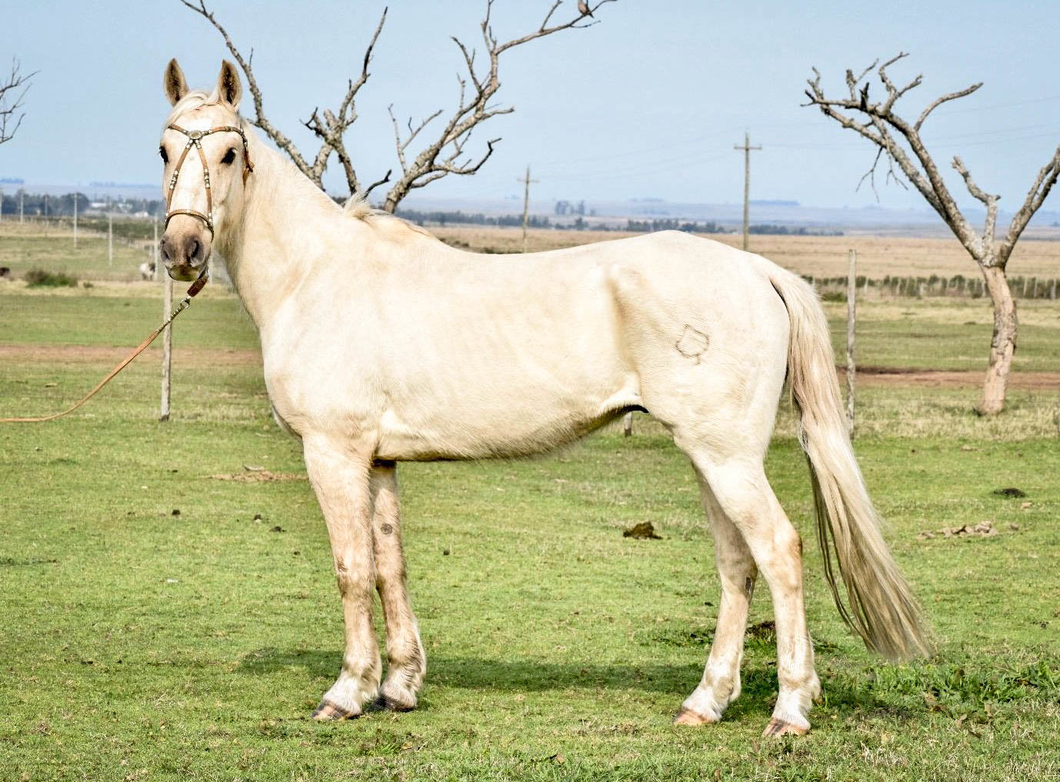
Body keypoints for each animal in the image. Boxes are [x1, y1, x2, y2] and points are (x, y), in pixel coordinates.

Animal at [156, 57, 928, 733]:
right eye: (164, 147)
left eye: (229, 153)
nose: (181, 250)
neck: (315, 275)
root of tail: (758, 270)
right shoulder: (377, 460)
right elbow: (388, 565)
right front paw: (399, 686)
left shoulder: (333, 454)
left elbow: (351, 570)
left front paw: (347, 693)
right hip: (713, 459)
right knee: (737, 565)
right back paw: (705, 702)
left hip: (726, 457)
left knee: (779, 552)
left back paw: (789, 709)